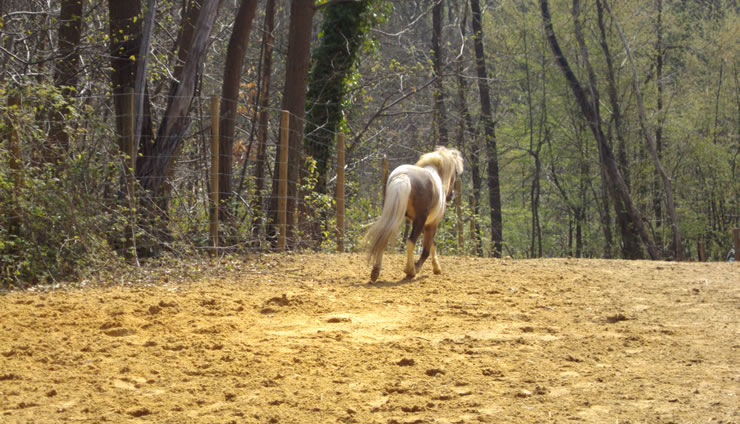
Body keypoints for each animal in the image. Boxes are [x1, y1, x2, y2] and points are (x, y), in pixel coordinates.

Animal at [364, 146, 462, 282]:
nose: (451, 195)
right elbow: (427, 248)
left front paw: (436, 268)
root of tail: (403, 177)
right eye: (456, 172)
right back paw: (410, 271)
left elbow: (432, 244)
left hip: (393, 215)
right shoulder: (431, 224)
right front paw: (419, 268)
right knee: (411, 242)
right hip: (417, 221)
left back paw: (375, 271)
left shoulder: (424, 224)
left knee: (384, 236)